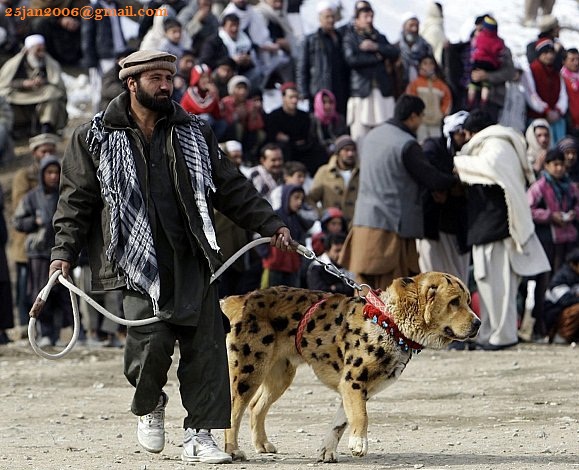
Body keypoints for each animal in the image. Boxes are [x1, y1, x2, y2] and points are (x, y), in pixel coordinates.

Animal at [222, 272, 480, 462]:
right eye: (454, 302)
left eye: (468, 301)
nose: (478, 323)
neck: (389, 321)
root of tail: (242, 298)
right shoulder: (353, 383)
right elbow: (361, 416)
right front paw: (358, 443)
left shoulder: (354, 389)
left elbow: (340, 423)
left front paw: (328, 451)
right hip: (248, 373)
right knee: (234, 411)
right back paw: (232, 450)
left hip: (279, 376)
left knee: (256, 407)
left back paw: (262, 444)